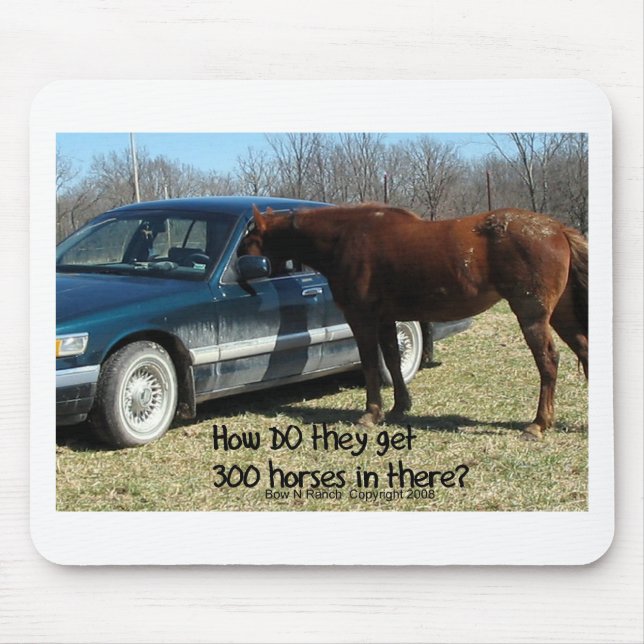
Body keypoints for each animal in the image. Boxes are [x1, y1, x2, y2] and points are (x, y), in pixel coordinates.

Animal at [244, 203, 588, 440]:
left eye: (249, 236)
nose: (241, 267)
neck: (346, 237)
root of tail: (557, 229)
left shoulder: (362, 318)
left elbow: (370, 364)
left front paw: (371, 413)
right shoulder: (386, 318)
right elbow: (393, 361)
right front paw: (399, 407)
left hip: (533, 316)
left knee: (548, 361)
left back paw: (538, 424)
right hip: (562, 315)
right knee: (583, 350)